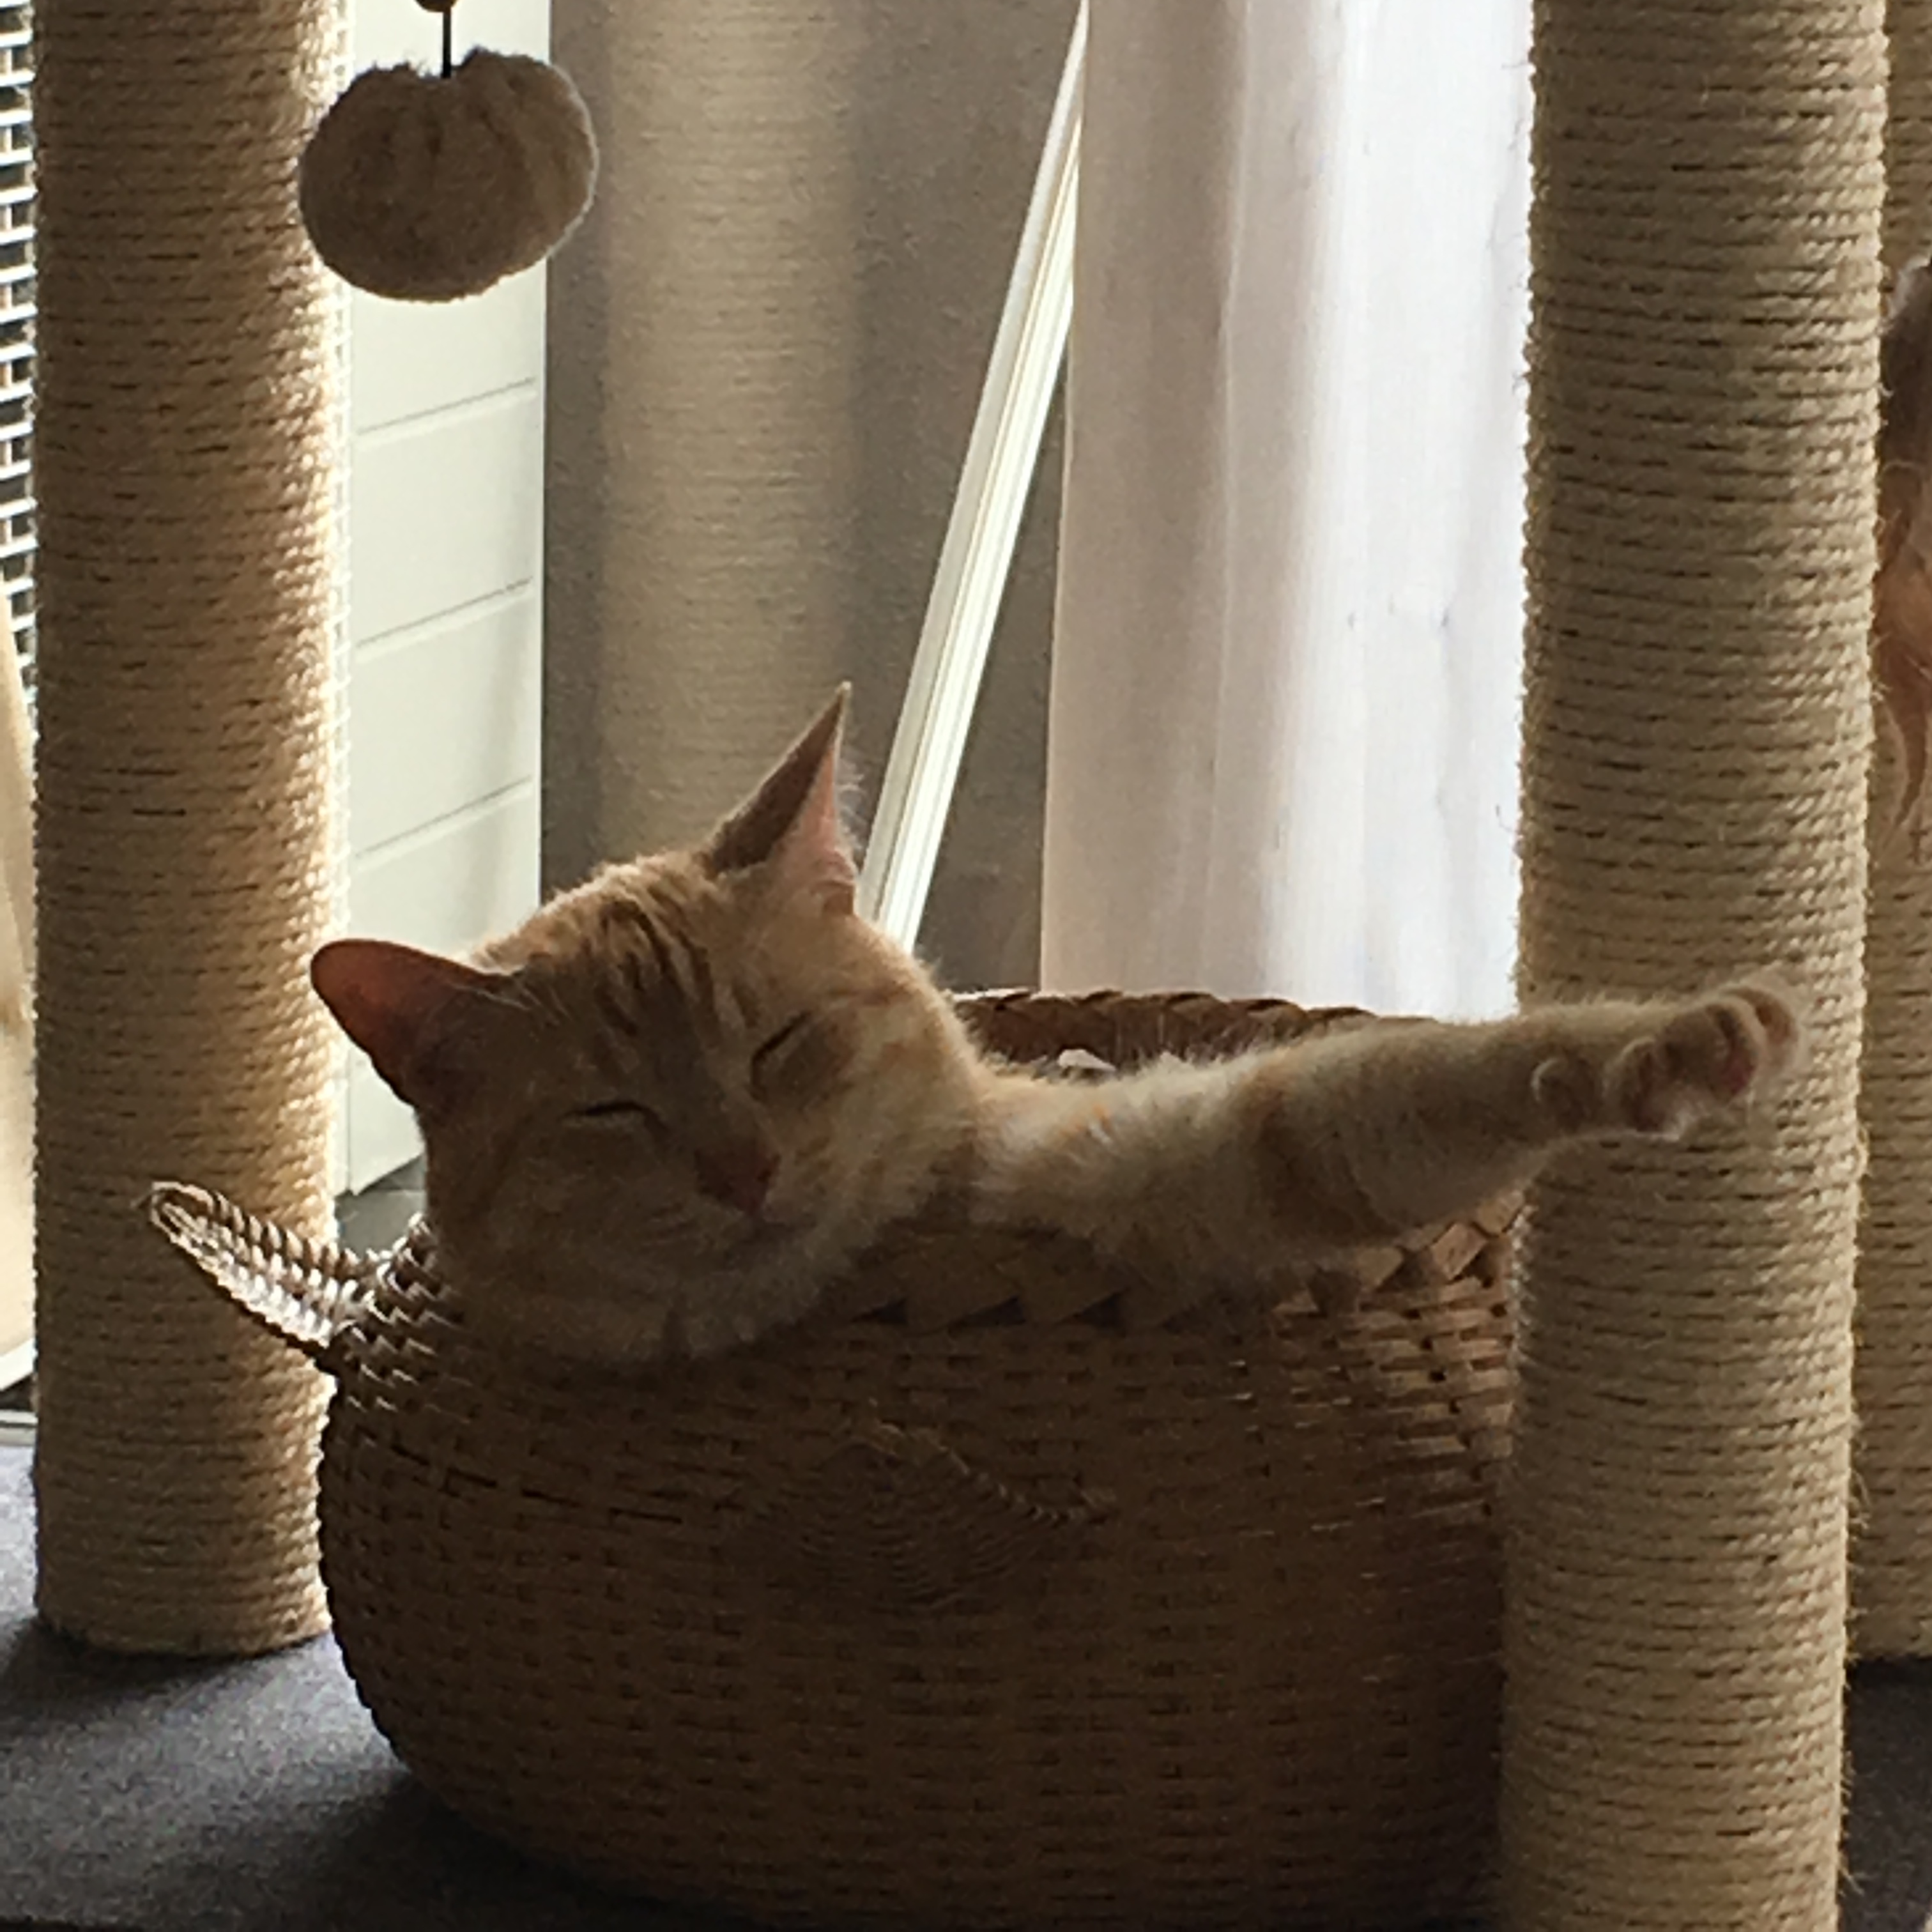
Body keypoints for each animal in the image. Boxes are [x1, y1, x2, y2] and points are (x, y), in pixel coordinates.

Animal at [311, 689, 1804, 1367]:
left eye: (779, 1042)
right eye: (610, 1112)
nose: (742, 1169)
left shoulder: (1163, 1152)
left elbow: (1409, 1077)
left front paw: (1665, 1039)